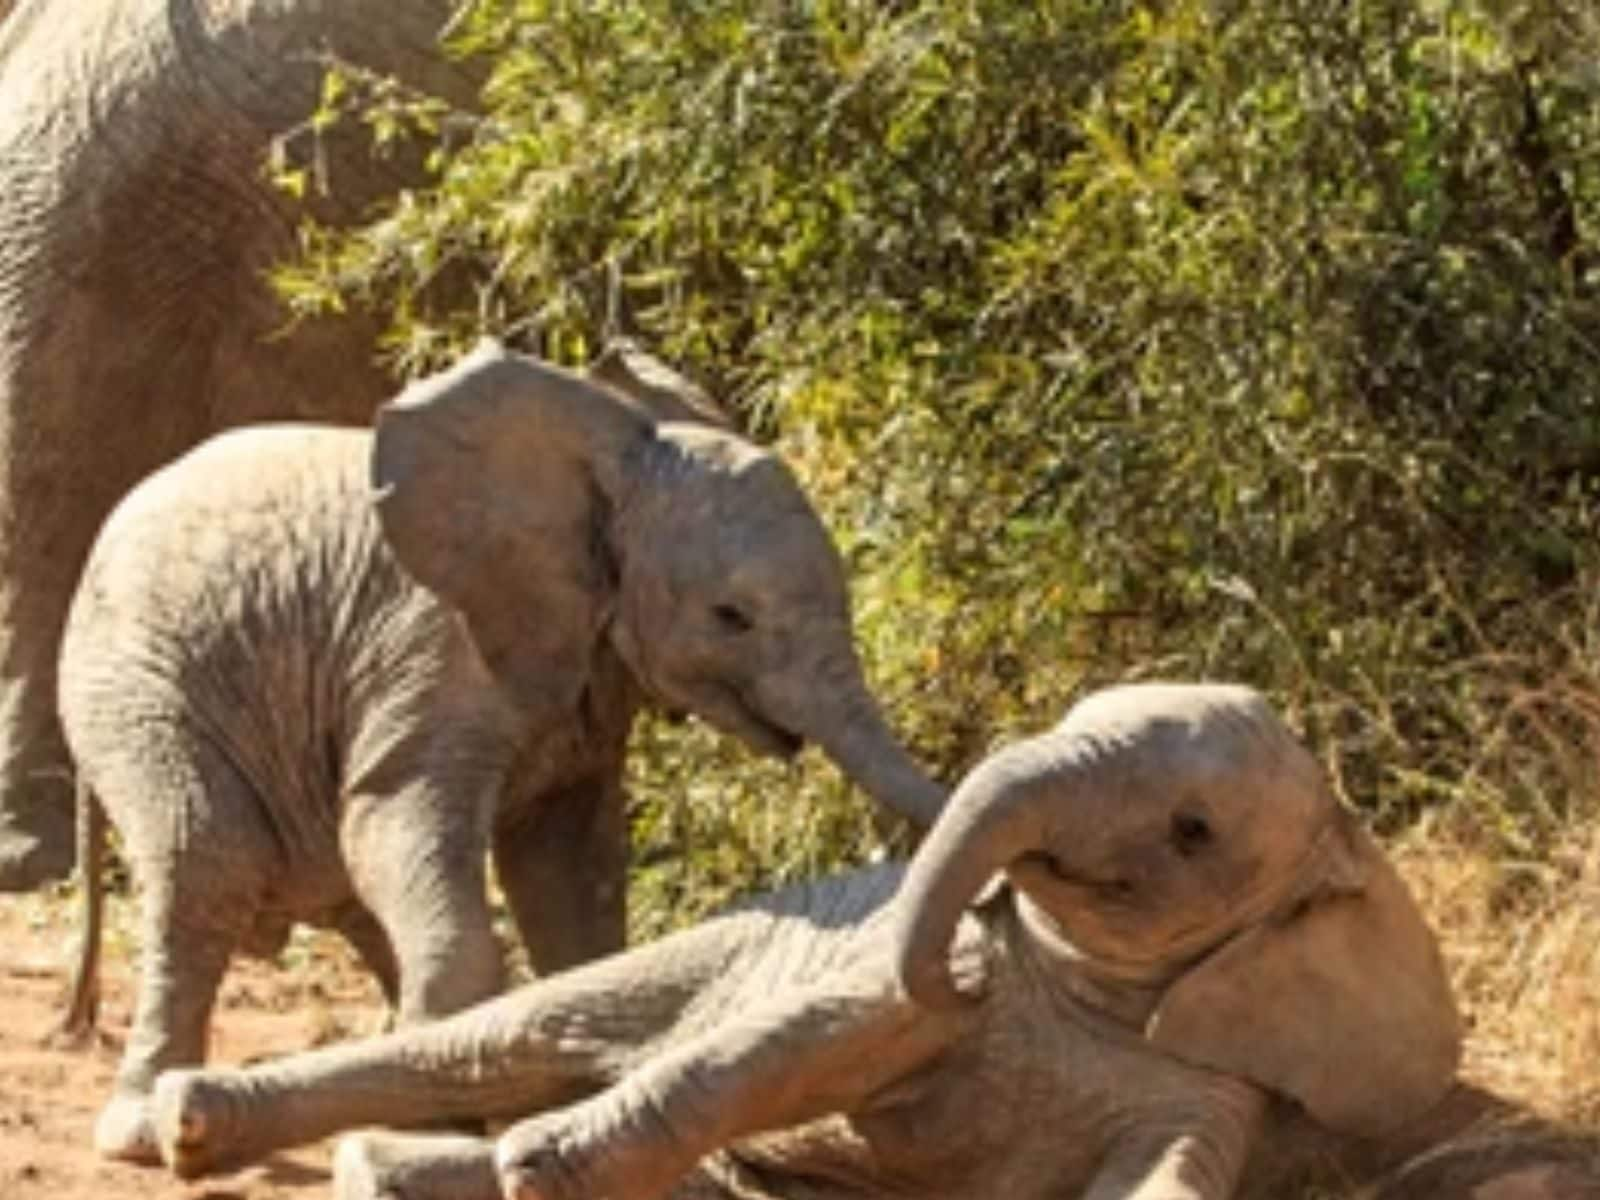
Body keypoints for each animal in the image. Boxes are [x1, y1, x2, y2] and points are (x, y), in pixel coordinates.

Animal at [56, 339, 940, 1164]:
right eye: (731, 618)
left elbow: (564, 868)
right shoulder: (433, 653)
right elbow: (393, 824)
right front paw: (438, 1131)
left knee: (335, 886)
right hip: (135, 688)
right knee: (210, 861)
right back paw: (140, 1131)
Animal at [150, 684, 1465, 1200]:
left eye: (1193, 830)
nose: (962, 933)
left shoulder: (1222, 1092)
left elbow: (1163, 1181)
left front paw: (531, 1165)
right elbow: (794, 1046)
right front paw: (543, 1165)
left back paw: (392, 1171)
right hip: (709, 943)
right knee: (498, 1041)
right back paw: (195, 1124)